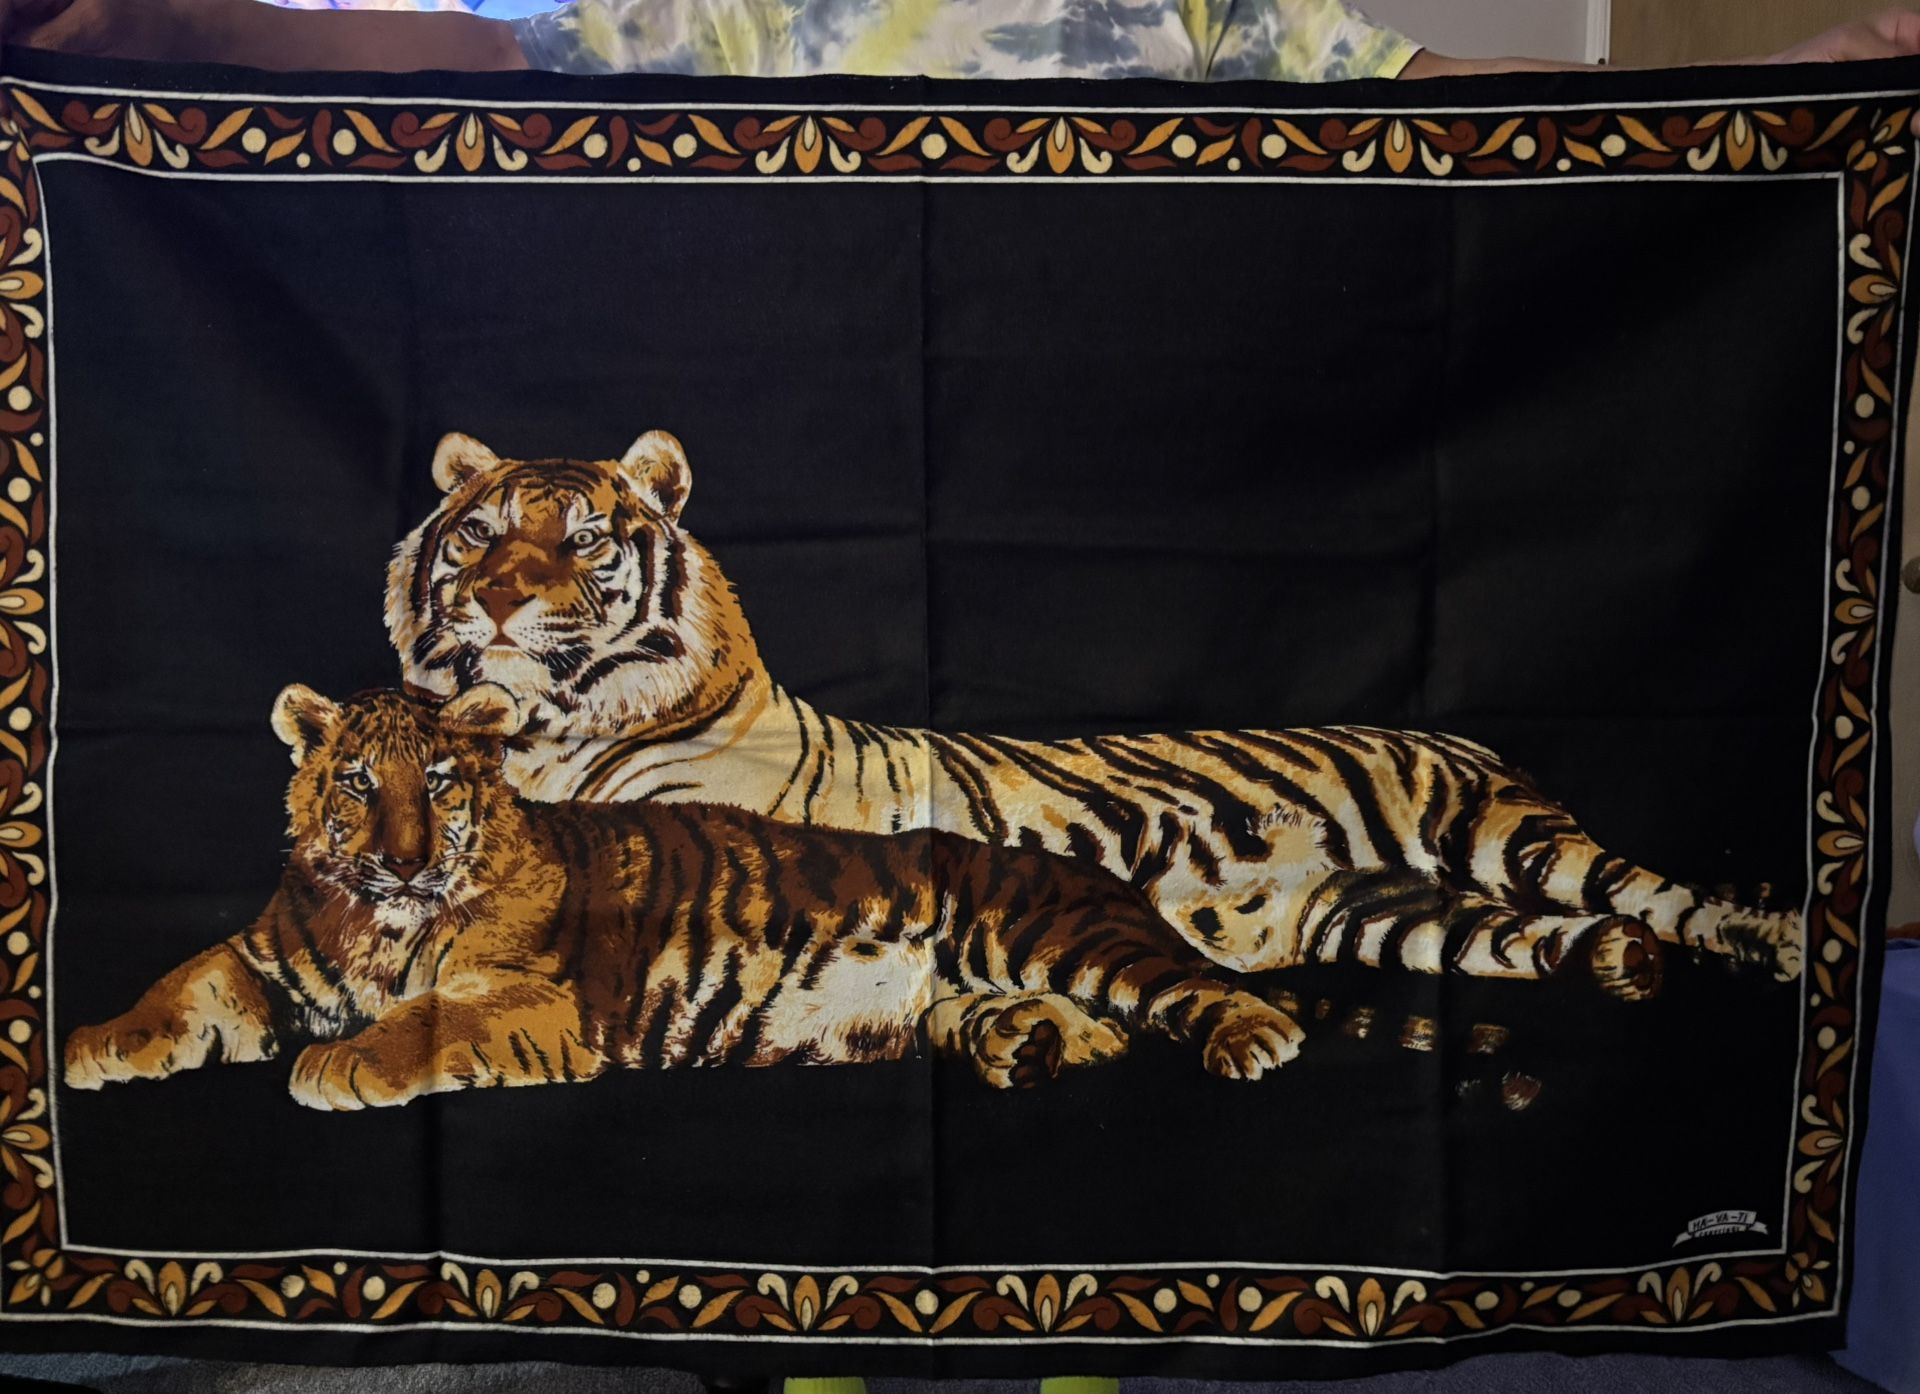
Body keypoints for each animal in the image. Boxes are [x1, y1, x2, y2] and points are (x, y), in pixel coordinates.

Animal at [62, 685, 1306, 1111]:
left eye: (446, 781)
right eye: (363, 782)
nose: (409, 859)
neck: (374, 915)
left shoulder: (530, 998)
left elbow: (423, 1017)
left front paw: (337, 1064)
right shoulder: (262, 956)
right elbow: (181, 983)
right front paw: (91, 1043)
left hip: (1058, 926)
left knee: (1189, 987)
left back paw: (1254, 1037)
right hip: (981, 985)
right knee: (1087, 1028)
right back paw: (1026, 1048)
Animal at [385, 428, 1804, 1028]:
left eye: (577, 540)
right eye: (478, 532)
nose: (498, 593)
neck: (550, 731)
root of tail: (1462, 736)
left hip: (1503, 834)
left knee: (1650, 886)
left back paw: (1764, 939)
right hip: (1386, 910)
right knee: (1521, 936)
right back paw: (1616, 966)